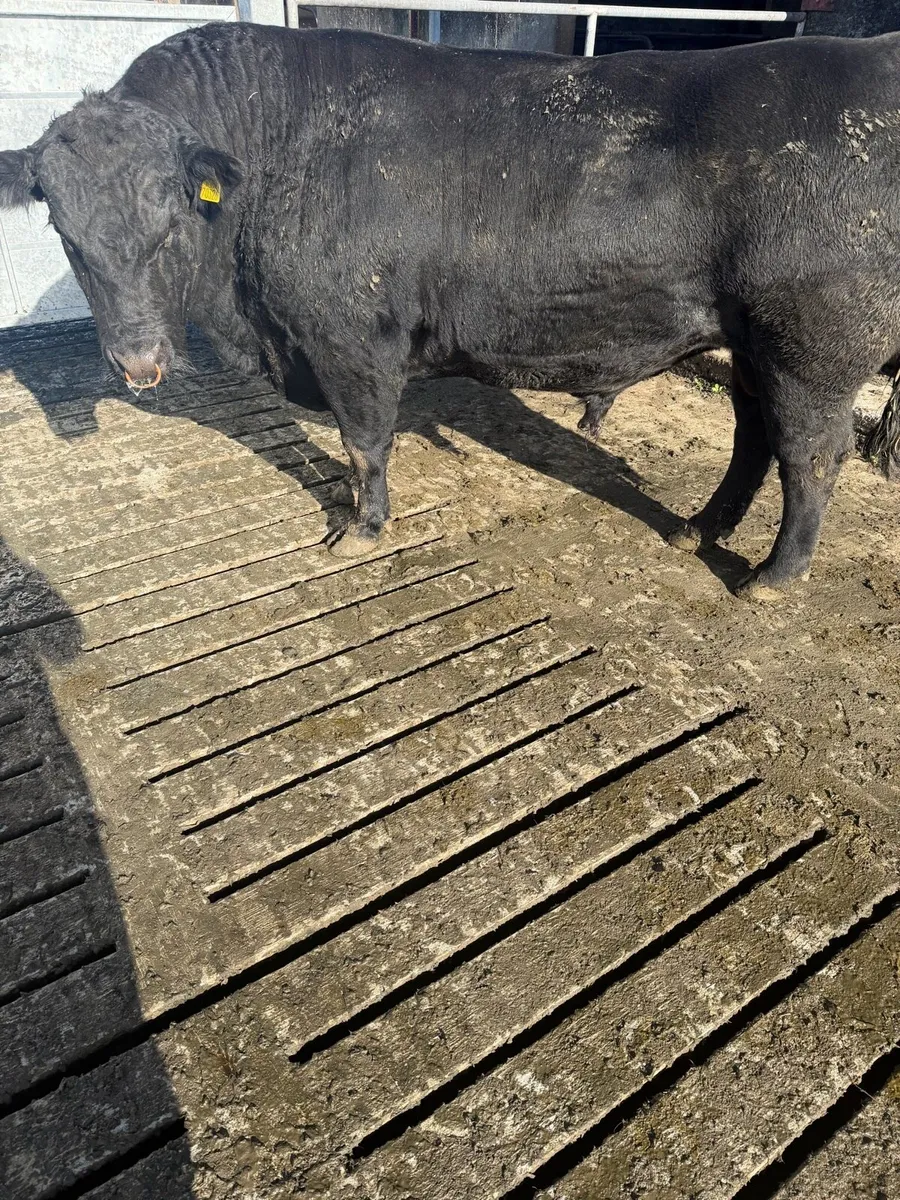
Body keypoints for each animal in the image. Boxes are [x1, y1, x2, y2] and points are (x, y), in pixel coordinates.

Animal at [2, 22, 899, 599]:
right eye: (64, 231)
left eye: (170, 221)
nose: (138, 363)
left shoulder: (350, 338)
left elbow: (364, 444)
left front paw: (359, 531)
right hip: (751, 344)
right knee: (755, 440)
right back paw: (697, 529)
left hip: (813, 347)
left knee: (812, 456)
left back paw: (771, 578)